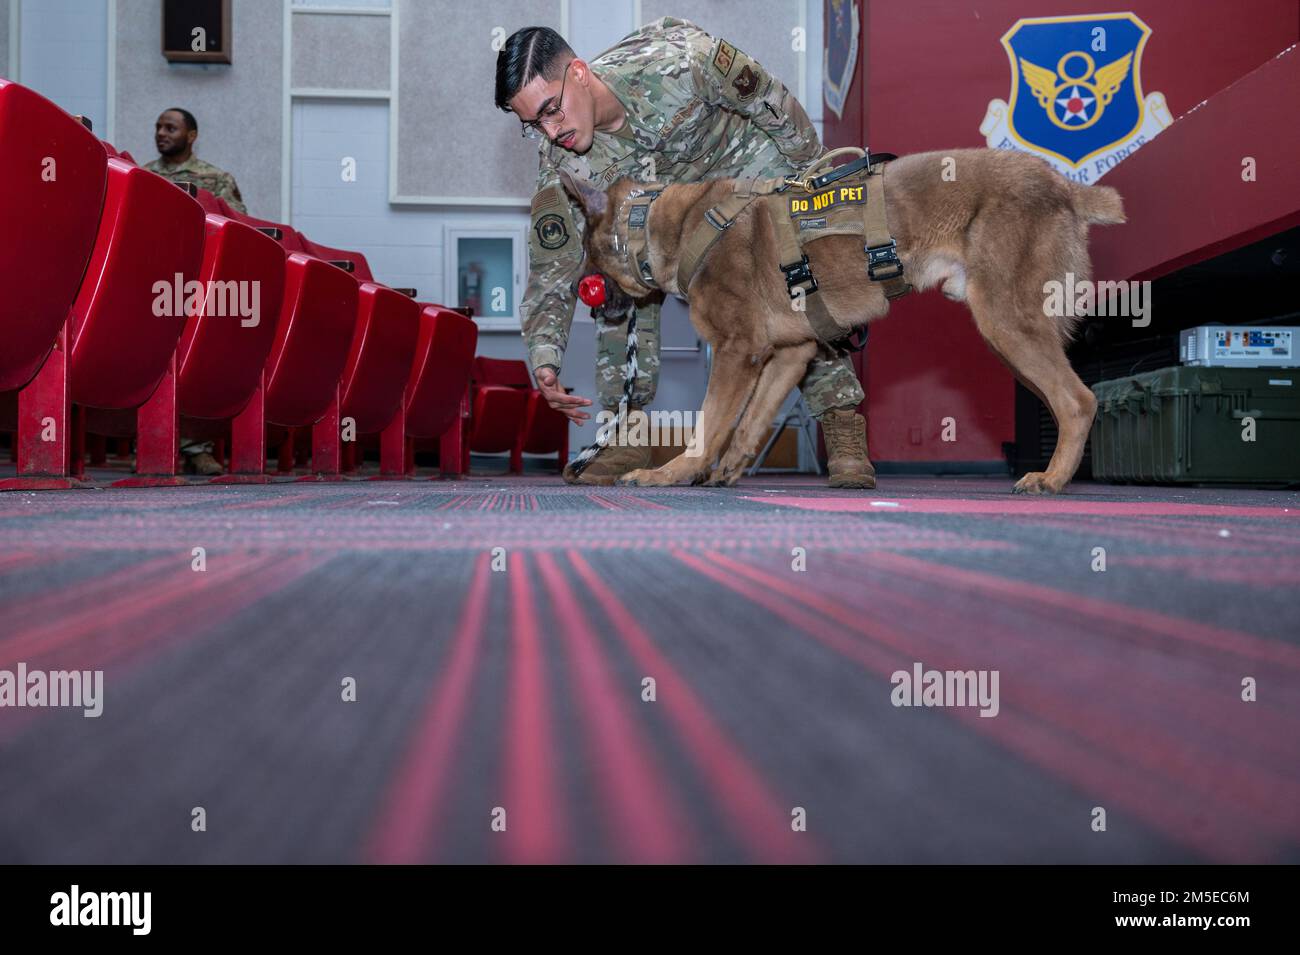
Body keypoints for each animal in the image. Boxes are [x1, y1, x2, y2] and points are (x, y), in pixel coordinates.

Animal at [564, 149, 1123, 496]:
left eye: (588, 258)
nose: (583, 300)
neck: (664, 226)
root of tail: (1063, 186)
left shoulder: (736, 351)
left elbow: (711, 423)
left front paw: (673, 473)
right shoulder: (788, 355)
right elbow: (749, 425)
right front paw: (725, 473)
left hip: (1007, 321)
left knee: (1078, 401)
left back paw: (1050, 480)